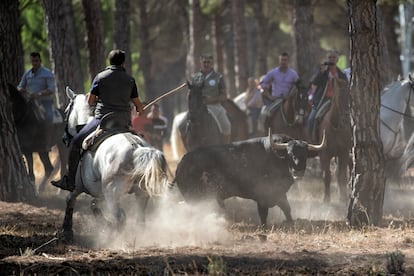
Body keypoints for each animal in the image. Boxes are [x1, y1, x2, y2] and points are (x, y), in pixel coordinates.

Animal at [60, 87, 170, 243]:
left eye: (66, 111)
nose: (64, 138)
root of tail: (136, 147)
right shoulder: (99, 192)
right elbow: (94, 205)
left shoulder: (78, 186)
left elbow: (70, 199)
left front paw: (67, 231)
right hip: (140, 194)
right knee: (139, 219)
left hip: (112, 193)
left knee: (120, 217)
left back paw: (115, 240)